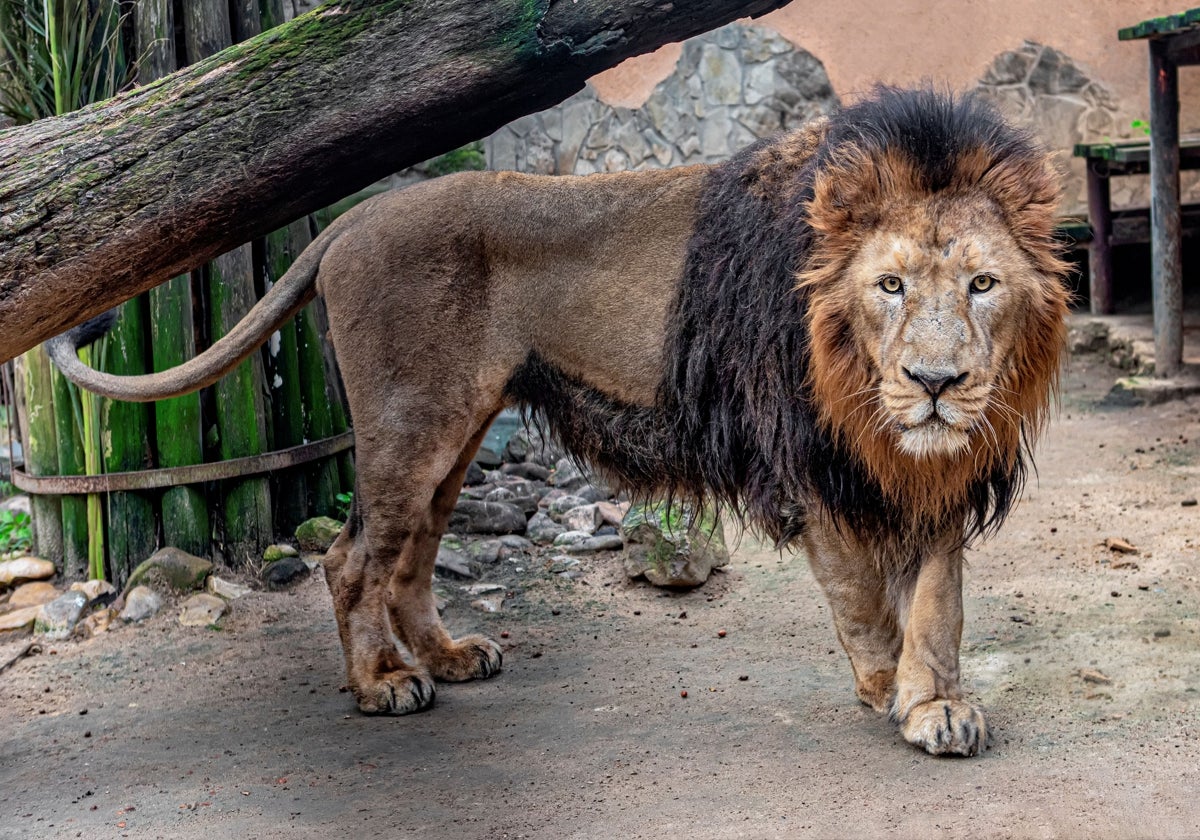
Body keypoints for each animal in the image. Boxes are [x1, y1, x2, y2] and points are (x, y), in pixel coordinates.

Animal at [49, 88, 1070, 758]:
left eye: (983, 283)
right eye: (889, 285)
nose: (936, 383)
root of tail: (347, 222)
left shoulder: (934, 470)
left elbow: (936, 603)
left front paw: (938, 703)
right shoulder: (805, 461)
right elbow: (865, 599)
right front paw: (888, 692)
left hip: (456, 433)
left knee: (409, 556)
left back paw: (453, 657)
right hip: (408, 426)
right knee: (350, 559)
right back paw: (382, 684)